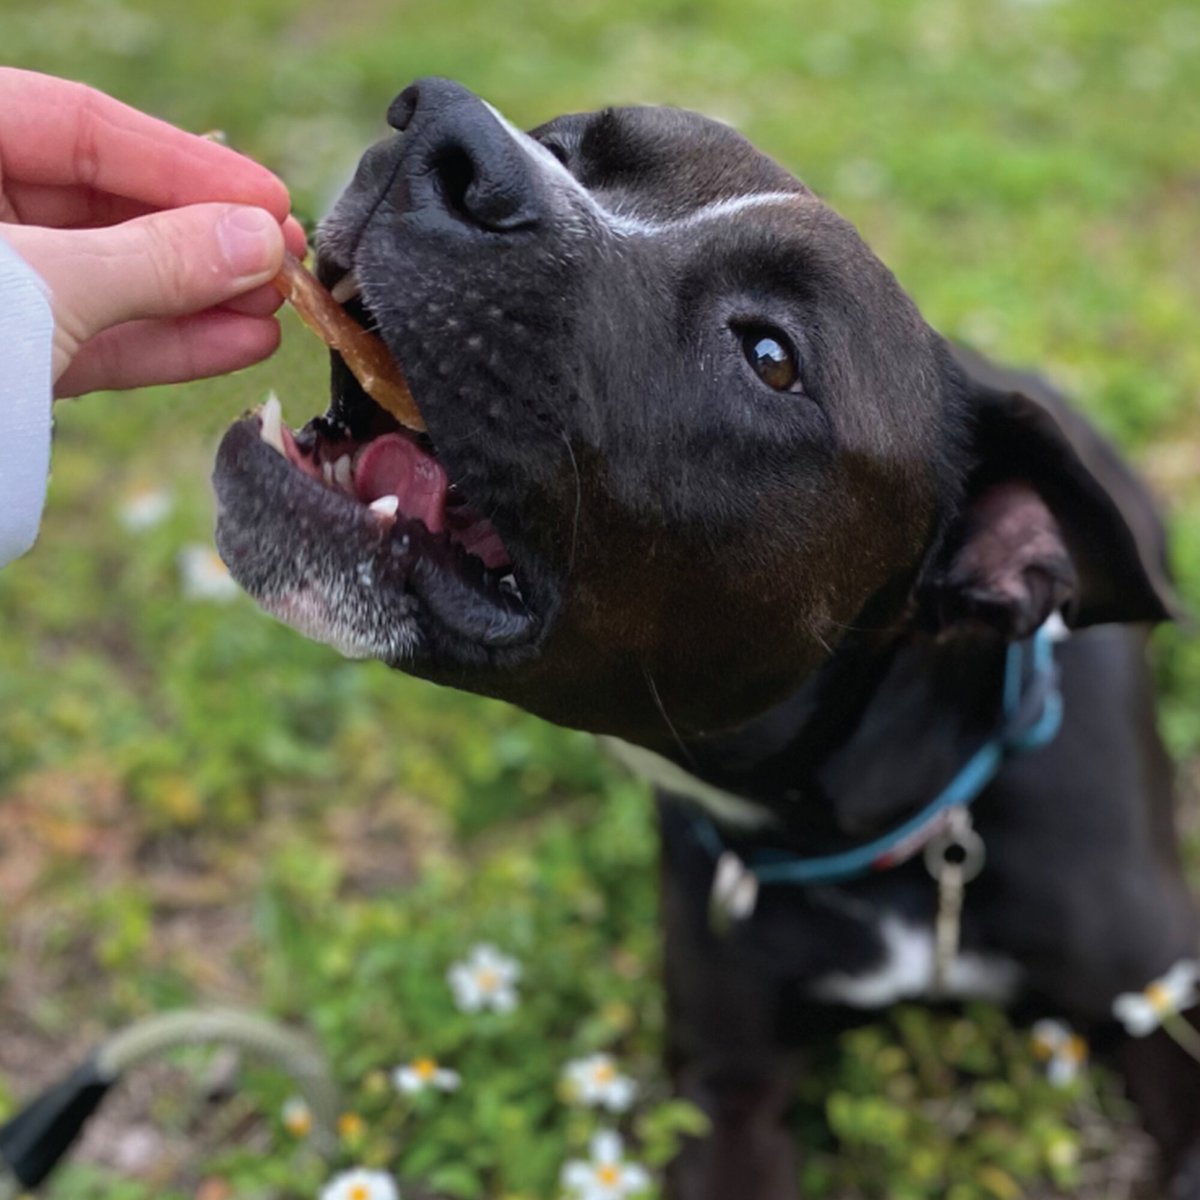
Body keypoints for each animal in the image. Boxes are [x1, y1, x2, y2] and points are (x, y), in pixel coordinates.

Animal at [213, 77, 1200, 1200]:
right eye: (567, 146)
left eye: (771, 357)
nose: (442, 134)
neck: (886, 826)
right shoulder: (727, 1087)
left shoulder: (1163, 1004)